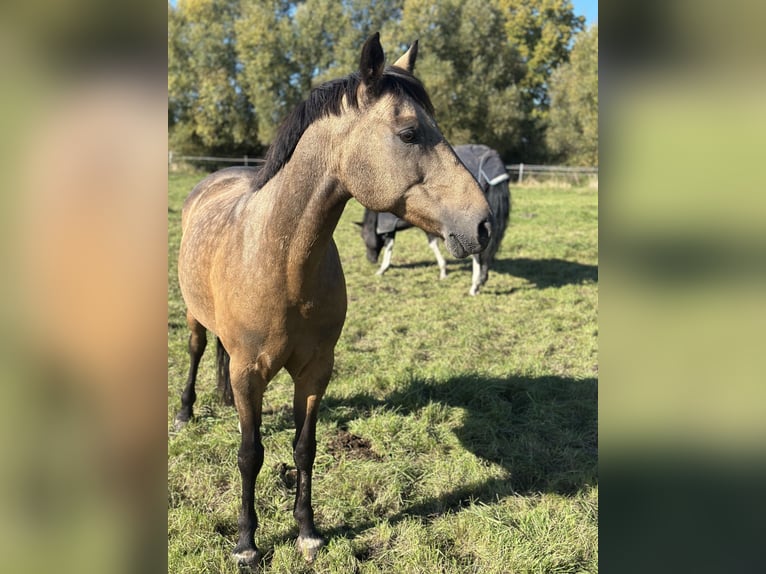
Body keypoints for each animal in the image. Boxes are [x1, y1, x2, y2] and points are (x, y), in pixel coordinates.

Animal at [174, 35, 492, 572]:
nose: (484, 225)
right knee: (198, 350)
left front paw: (307, 532)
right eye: (409, 133)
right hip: (194, 315)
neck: (281, 262)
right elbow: (249, 453)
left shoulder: (316, 370)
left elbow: (304, 447)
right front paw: (246, 543)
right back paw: (185, 412)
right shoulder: (250, 371)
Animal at [358, 144, 510, 296]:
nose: (370, 260)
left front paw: (382, 269)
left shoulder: (389, 225)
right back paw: (482, 280)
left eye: (364, 237)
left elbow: (391, 246)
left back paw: (474, 286)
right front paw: (443, 272)